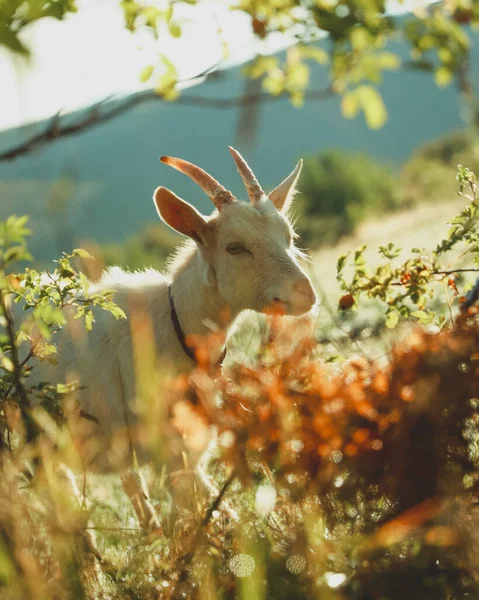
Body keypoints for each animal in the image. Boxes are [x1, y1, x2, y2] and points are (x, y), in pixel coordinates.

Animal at [34, 148, 318, 532]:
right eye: (234, 247)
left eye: (288, 236)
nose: (305, 293)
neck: (173, 325)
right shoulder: (170, 453)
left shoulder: (188, 449)